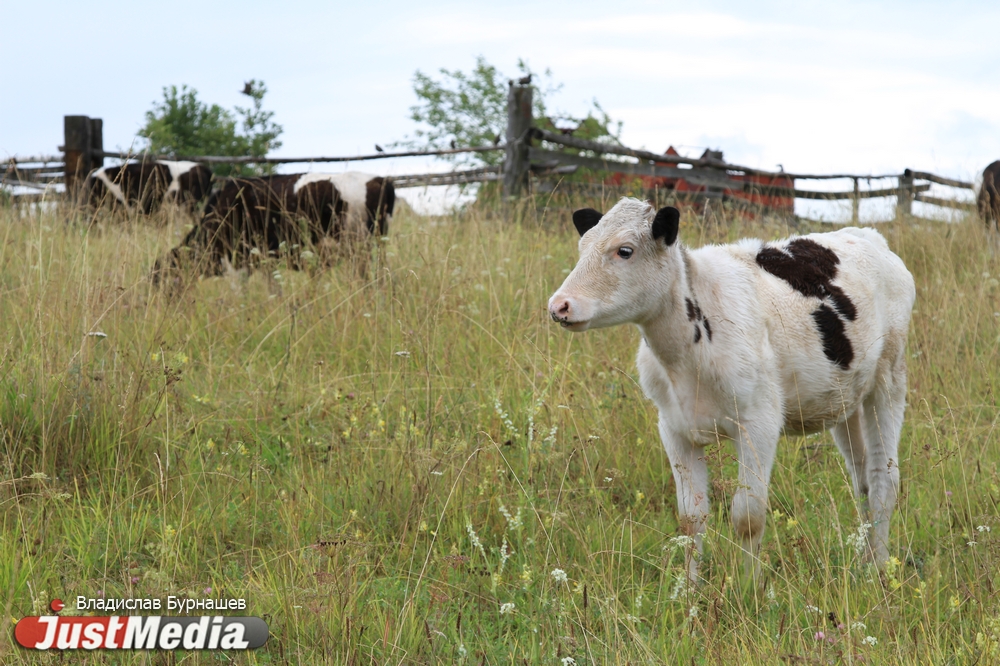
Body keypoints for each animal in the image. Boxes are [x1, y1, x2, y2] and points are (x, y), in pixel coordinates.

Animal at [548, 197, 916, 580]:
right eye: (582, 247)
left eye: (624, 251)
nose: (559, 305)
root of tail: (867, 235)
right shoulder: (674, 428)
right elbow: (691, 518)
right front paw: (690, 590)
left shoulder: (759, 423)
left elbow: (748, 516)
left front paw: (748, 588)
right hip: (846, 398)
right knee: (862, 479)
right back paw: (862, 561)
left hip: (889, 378)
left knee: (884, 478)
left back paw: (879, 569)